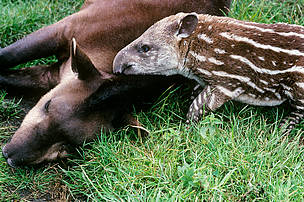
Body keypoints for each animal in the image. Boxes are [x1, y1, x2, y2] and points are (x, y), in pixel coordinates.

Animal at [0, 0, 230, 166]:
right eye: (47, 105)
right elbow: (9, 56)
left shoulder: (57, 72)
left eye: (67, 147)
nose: (9, 156)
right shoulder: (67, 29)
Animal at [113, 13, 304, 131]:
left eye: (145, 48)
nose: (116, 66)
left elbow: (198, 106)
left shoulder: (225, 82)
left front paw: (185, 130)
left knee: (299, 110)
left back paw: (283, 128)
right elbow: (194, 94)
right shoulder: (204, 80)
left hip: (298, 84)